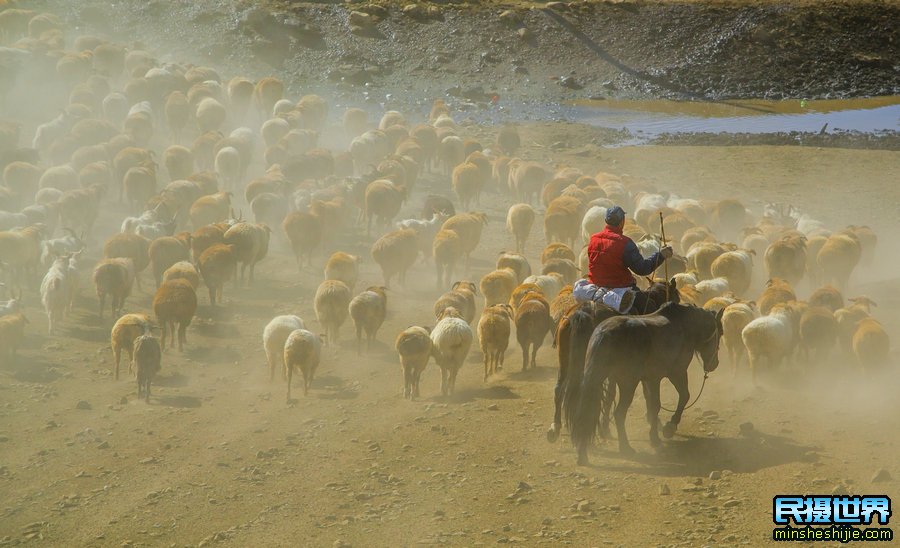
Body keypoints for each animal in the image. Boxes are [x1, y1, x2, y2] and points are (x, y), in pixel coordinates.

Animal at [544, 280, 680, 444]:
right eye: (677, 296)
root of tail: (584, 312)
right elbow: (629, 393)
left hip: (565, 359)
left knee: (560, 388)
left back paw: (555, 427)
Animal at [568, 302, 724, 464]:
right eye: (721, 333)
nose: (715, 364)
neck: (683, 326)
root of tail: (604, 332)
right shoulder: (677, 373)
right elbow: (684, 396)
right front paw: (670, 427)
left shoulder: (652, 379)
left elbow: (654, 406)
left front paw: (654, 438)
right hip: (627, 384)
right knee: (618, 413)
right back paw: (625, 448)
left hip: (597, 379)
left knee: (586, 411)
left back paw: (582, 453)